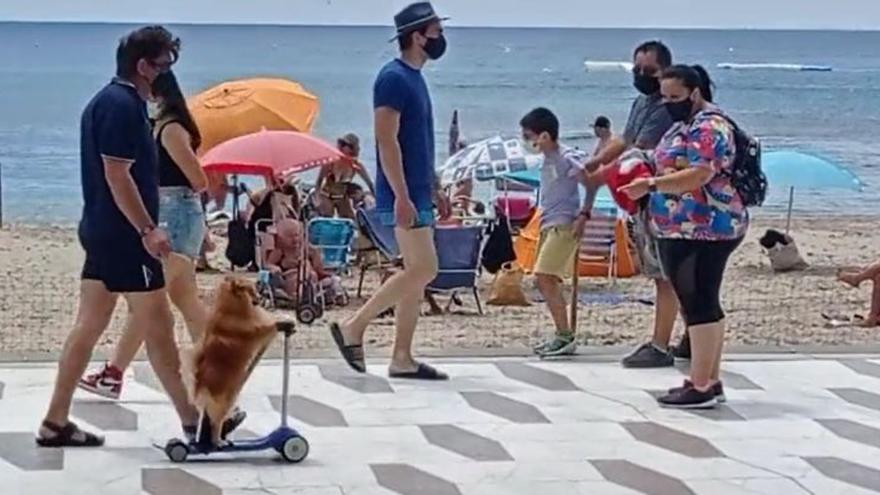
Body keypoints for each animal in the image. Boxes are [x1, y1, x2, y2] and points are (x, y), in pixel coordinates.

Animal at [191, 276, 276, 446]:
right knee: (216, 423)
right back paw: (218, 441)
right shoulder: (253, 331)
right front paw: (282, 323)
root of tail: (202, 386)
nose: (261, 296)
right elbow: (264, 328)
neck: (232, 307)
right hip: (227, 400)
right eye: (251, 290)